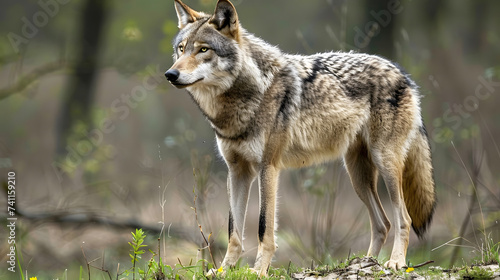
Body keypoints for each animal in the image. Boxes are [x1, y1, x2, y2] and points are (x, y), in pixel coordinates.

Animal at [164, 0, 434, 276]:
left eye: (203, 50)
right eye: (181, 49)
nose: (170, 74)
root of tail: (403, 74)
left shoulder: (268, 167)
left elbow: (263, 227)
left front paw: (258, 271)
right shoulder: (237, 171)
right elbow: (234, 232)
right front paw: (224, 271)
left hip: (385, 164)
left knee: (403, 218)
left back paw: (396, 262)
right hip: (357, 176)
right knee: (383, 223)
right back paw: (365, 264)